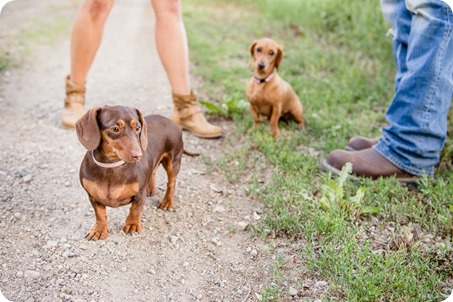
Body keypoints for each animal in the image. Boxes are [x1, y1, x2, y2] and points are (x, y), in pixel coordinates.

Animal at [76, 106, 192, 241]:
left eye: (138, 128)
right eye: (115, 128)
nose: (138, 156)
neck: (112, 165)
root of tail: (172, 122)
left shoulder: (140, 194)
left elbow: (135, 210)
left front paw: (132, 225)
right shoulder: (93, 197)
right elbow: (100, 214)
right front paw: (99, 230)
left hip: (173, 162)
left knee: (171, 182)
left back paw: (167, 202)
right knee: (153, 171)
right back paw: (151, 188)